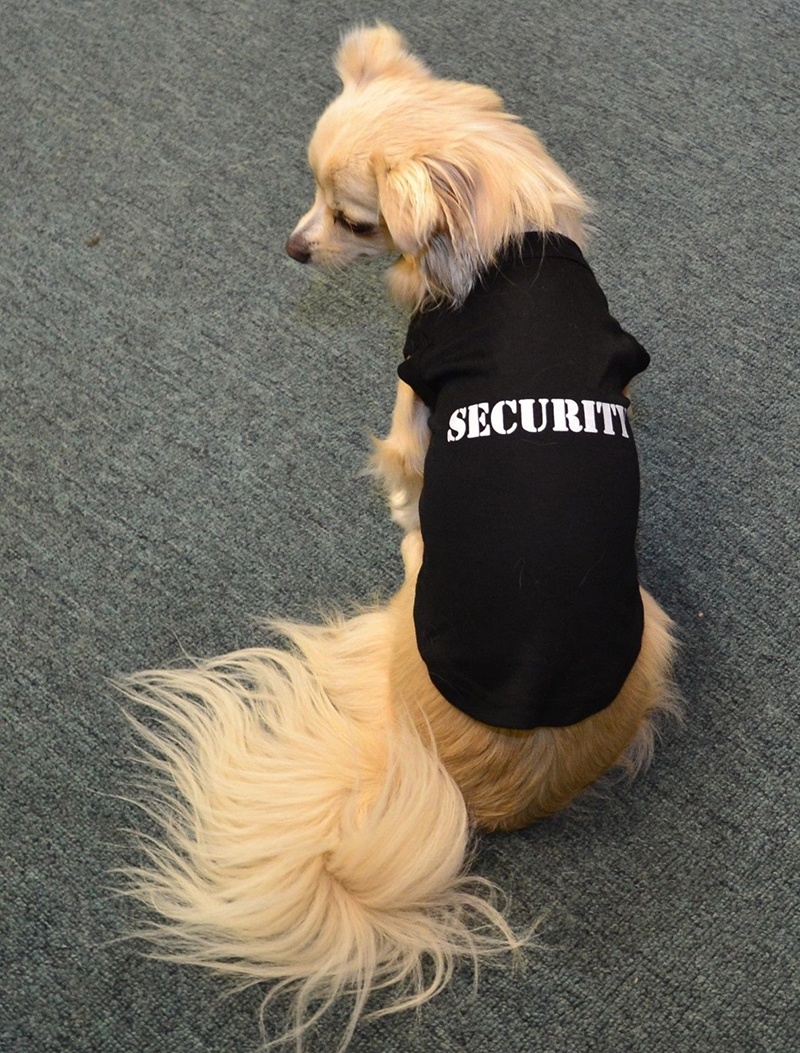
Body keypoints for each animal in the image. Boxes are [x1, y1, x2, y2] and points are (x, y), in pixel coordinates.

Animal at [123, 25, 678, 1051]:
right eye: (310, 200)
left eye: (357, 222)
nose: (293, 248)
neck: (505, 240)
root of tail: (475, 796)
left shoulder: (414, 397)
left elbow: (406, 474)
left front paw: (399, 508)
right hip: (652, 624)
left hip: (417, 607)